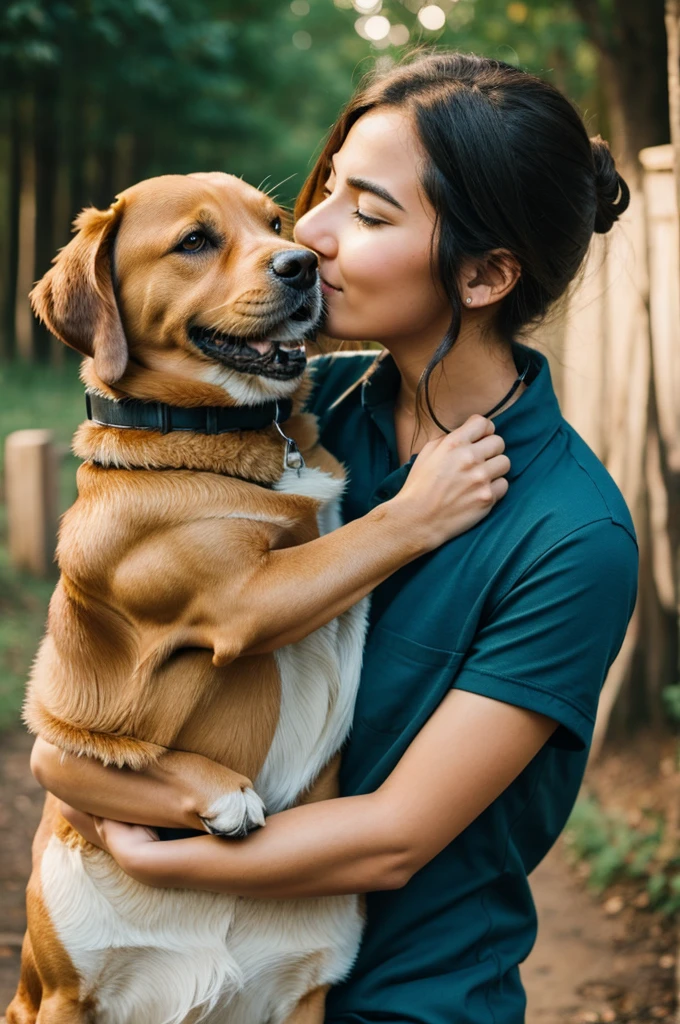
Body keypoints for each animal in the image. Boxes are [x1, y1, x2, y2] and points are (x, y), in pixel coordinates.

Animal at [6, 172, 366, 1024]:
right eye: (195, 241)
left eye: (276, 224)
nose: (304, 265)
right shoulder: (245, 597)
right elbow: (361, 537)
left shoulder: (306, 1000)